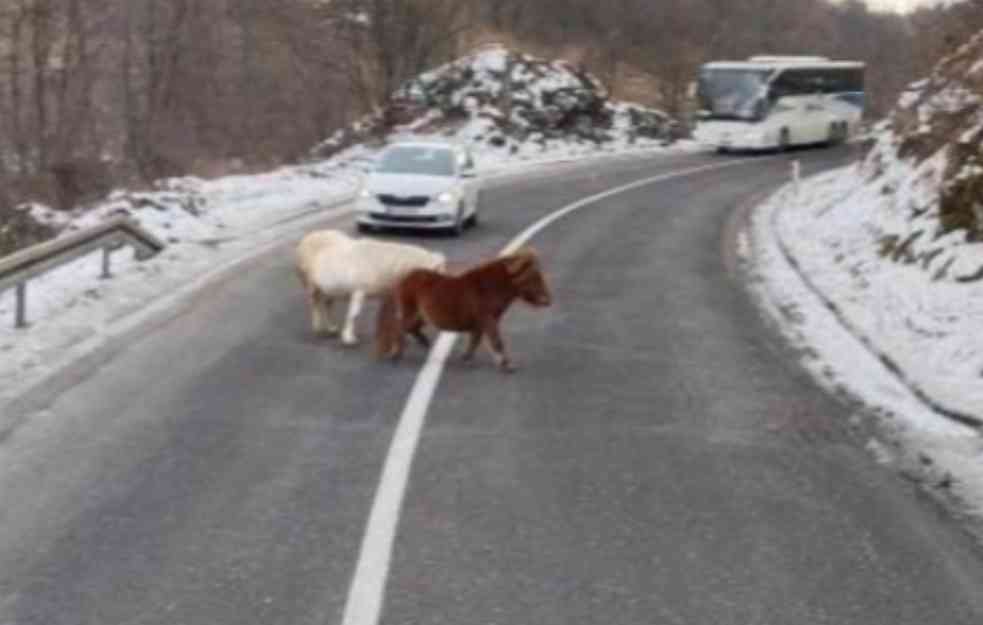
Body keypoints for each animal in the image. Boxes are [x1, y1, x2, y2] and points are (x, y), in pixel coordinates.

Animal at [292, 229, 446, 346]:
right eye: (437, 276)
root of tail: (306, 238)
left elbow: (400, 315)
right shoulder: (358, 291)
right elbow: (354, 314)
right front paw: (348, 338)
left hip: (329, 289)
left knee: (327, 305)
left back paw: (332, 328)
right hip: (311, 285)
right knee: (315, 304)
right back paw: (318, 328)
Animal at [376, 246, 548, 370]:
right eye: (534, 277)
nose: (548, 300)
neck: (492, 287)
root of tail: (404, 278)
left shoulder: (481, 323)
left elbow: (475, 340)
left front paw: (466, 357)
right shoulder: (488, 319)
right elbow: (496, 340)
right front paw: (507, 364)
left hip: (421, 315)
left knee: (411, 328)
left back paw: (424, 343)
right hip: (411, 311)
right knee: (400, 328)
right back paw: (395, 354)